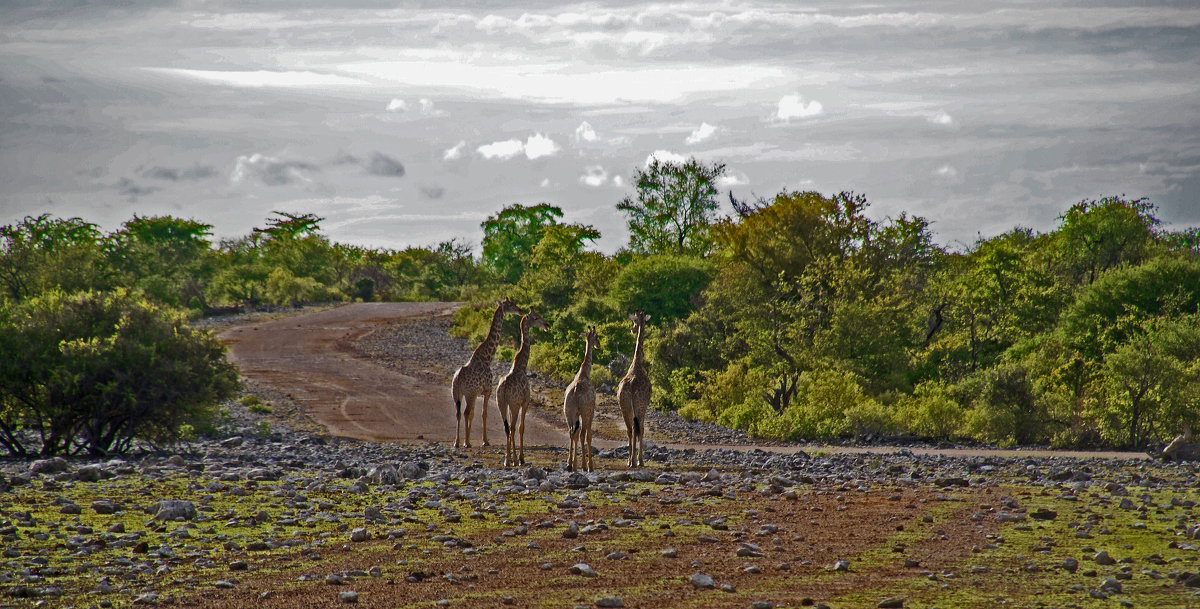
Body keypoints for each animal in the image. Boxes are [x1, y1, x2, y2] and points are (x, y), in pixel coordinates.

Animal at [451, 297, 525, 450]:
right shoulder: (487, 390)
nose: (521, 310)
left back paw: (457, 442)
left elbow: (474, 414)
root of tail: (458, 379)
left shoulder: (476, 393)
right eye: (510, 305)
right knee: (465, 412)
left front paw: (470, 439)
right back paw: (466, 443)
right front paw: (485, 440)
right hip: (469, 394)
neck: (487, 357)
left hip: (457, 393)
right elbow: (484, 414)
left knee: (459, 413)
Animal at [496, 309, 549, 465]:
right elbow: (521, 427)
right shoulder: (525, 402)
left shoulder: (512, 404)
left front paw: (512, 457)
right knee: (513, 427)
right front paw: (521, 458)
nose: (547, 325)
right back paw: (513, 459)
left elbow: (513, 428)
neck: (521, 366)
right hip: (513, 405)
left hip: (501, 403)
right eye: (536, 317)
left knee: (507, 428)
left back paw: (507, 459)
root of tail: (504, 389)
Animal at [561, 326, 600, 472]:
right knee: (582, 434)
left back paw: (569, 465)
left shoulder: (575, 413)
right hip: (584, 411)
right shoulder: (591, 411)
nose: (599, 345)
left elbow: (576, 434)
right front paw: (589, 465)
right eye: (597, 337)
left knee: (571, 432)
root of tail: (576, 391)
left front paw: (573, 463)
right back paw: (583, 465)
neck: (584, 373)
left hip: (568, 412)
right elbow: (588, 435)